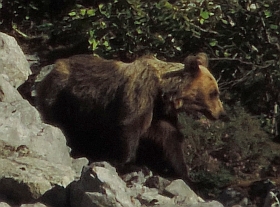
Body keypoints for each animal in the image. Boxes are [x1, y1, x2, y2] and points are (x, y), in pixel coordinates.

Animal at [35, 53, 228, 183]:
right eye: (214, 92)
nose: (221, 113)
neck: (162, 93)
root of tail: (55, 65)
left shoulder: (160, 114)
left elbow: (170, 139)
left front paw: (183, 174)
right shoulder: (140, 96)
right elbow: (130, 128)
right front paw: (133, 165)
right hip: (62, 97)